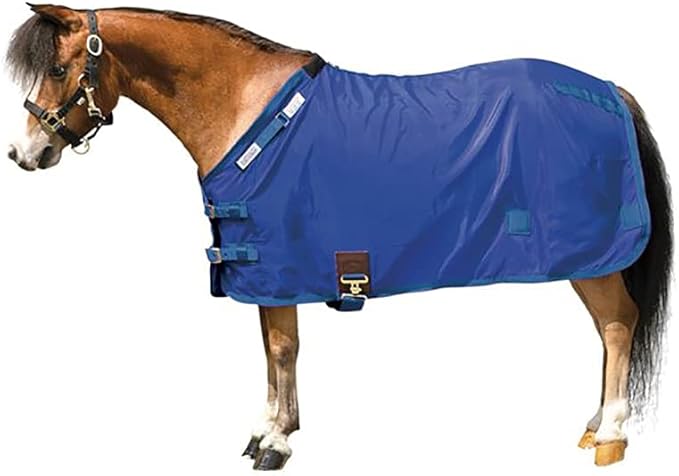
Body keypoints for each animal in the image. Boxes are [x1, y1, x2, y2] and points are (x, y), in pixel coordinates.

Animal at [5, 5, 672, 471]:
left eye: (59, 69)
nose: (23, 153)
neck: (245, 110)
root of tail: (611, 91)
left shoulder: (278, 265)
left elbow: (282, 349)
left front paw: (275, 443)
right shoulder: (266, 272)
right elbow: (270, 350)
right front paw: (267, 429)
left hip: (592, 260)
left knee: (618, 325)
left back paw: (610, 436)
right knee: (609, 332)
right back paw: (593, 425)